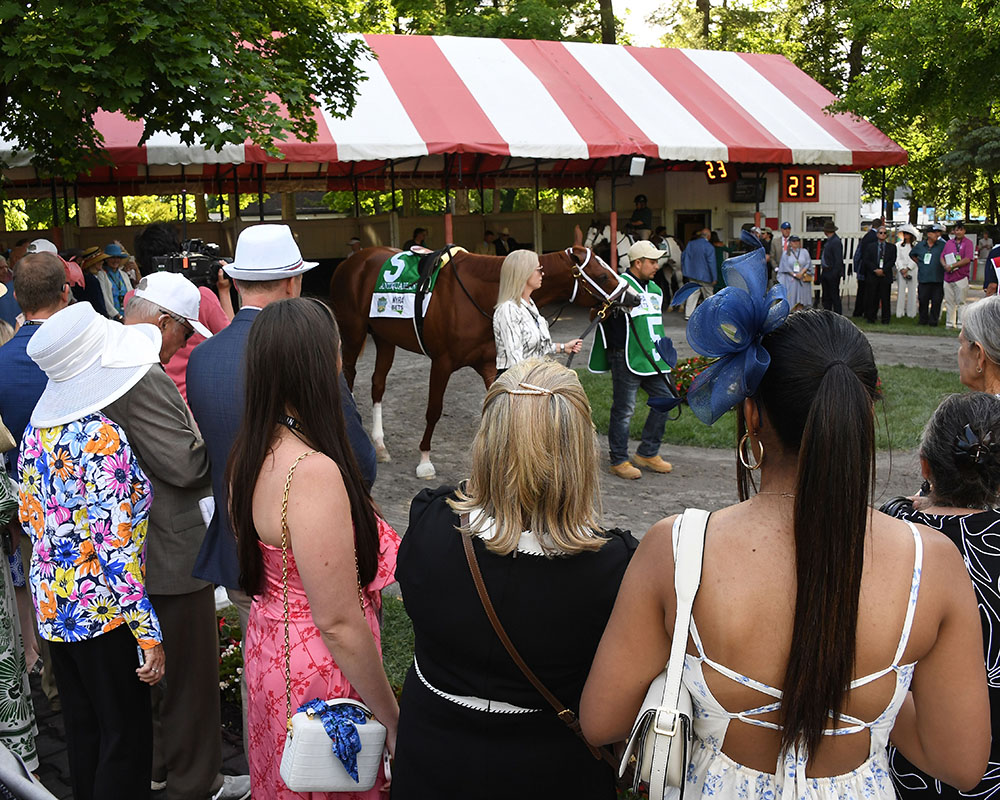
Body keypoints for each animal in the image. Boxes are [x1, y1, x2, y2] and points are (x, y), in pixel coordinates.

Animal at [332, 244, 636, 478]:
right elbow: (434, 409)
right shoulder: (442, 362)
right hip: (353, 333)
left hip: (385, 338)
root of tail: (351, 261)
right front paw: (425, 461)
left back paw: (380, 445)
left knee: (378, 384)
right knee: (348, 377)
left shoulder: (487, 363)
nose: (633, 297)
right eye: (602, 275)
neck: (480, 291)